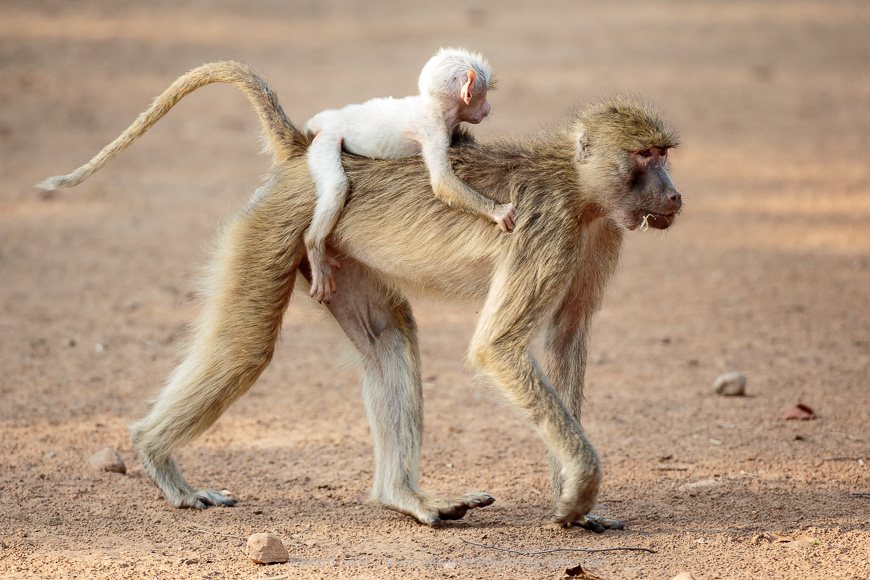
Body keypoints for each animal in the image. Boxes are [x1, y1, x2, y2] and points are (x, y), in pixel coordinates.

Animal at [303, 47, 516, 303]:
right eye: (483, 97)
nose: (488, 108)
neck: (434, 107)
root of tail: (330, 118)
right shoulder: (435, 130)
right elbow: (442, 182)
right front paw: (497, 212)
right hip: (326, 140)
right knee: (337, 186)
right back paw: (314, 245)